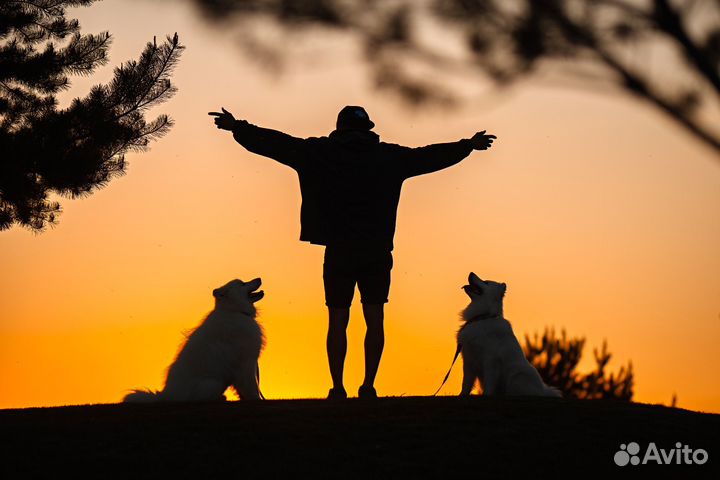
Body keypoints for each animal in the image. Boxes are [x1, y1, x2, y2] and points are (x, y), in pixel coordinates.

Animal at [125, 278, 266, 402]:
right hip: (212, 383)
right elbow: (252, 389)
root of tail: (165, 396)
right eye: (242, 283)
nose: (259, 278)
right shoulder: (245, 364)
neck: (235, 311)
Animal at [456, 272, 564, 400]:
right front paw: (461, 395)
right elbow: (466, 384)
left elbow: (489, 384)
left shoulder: (490, 361)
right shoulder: (469, 361)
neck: (483, 317)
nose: (471, 273)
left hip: (517, 377)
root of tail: (543, 391)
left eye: (486, 282)